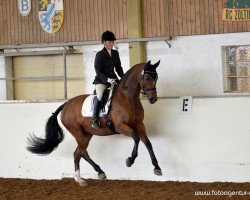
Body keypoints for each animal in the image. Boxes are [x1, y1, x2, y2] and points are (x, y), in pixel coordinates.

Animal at [26, 59, 161, 186]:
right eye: (147, 78)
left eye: (156, 77)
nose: (153, 99)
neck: (127, 98)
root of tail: (66, 105)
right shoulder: (121, 126)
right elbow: (136, 138)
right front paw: (130, 160)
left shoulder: (139, 125)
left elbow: (148, 143)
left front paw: (157, 168)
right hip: (78, 132)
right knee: (82, 152)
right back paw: (96, 173)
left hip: (87, 133)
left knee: (77, 153)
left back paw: (81, 178)